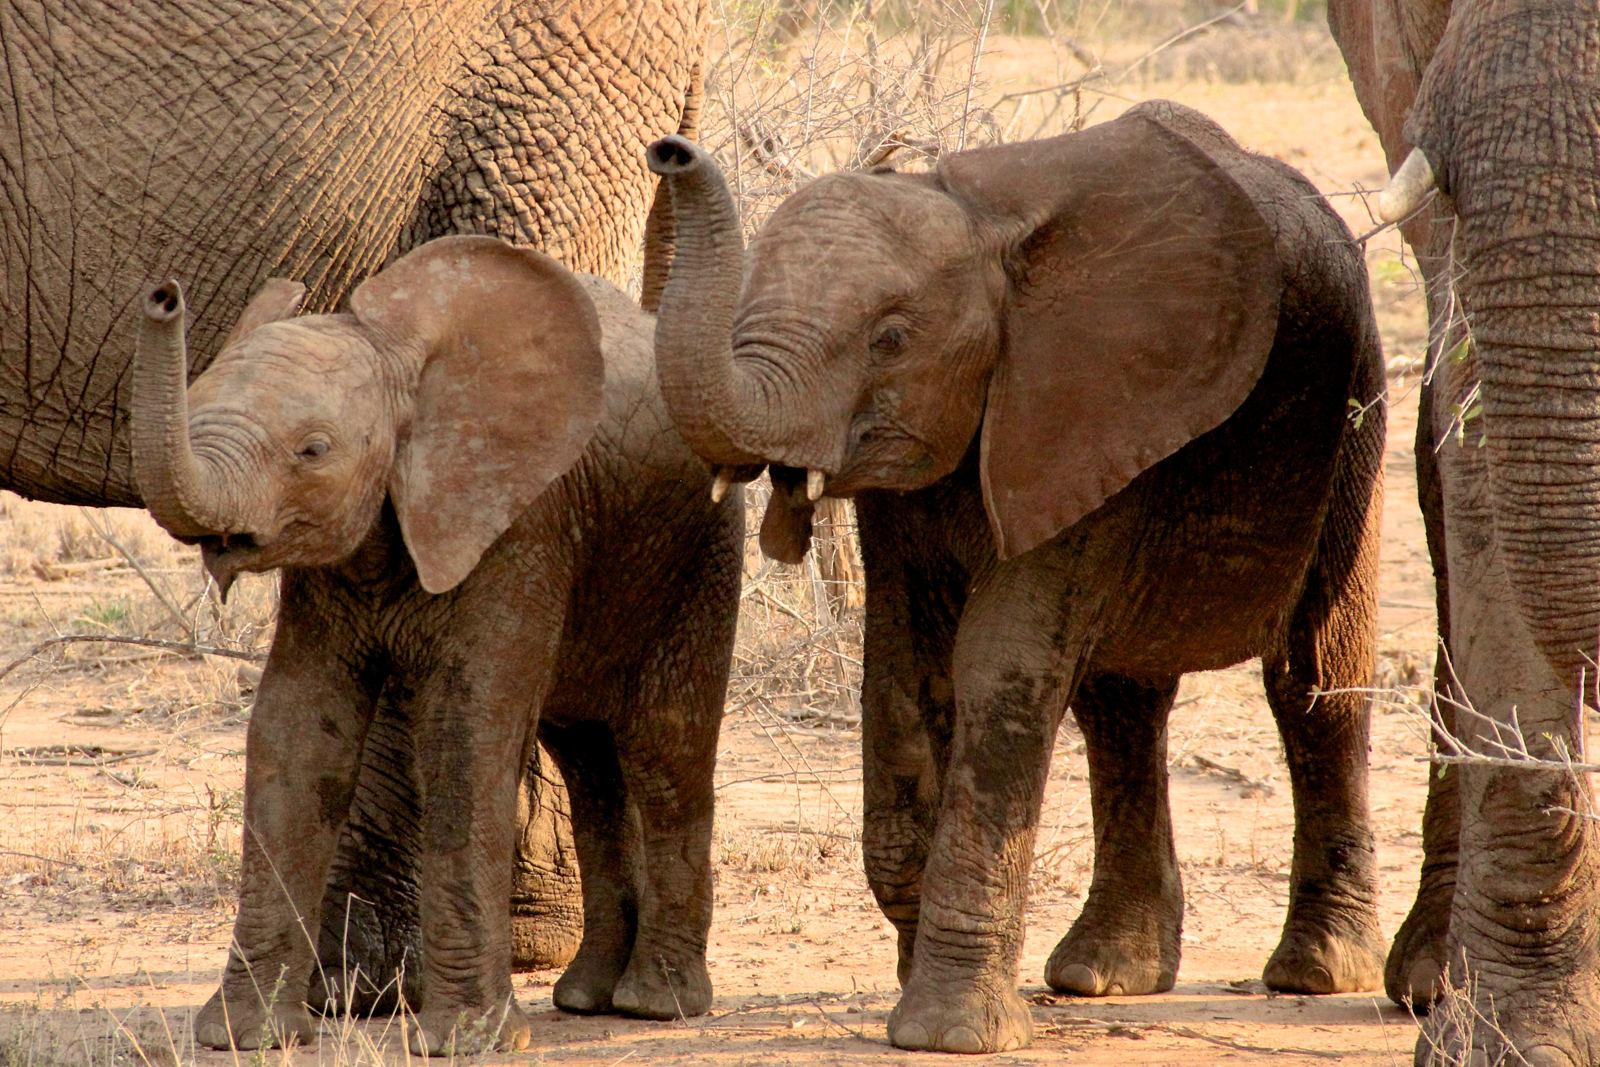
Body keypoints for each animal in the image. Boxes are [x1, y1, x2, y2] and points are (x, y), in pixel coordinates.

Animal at [129, 235, 741, 1053]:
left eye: (312, 450)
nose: (164, 294)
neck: (402, 365)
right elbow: (295, 734)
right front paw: (245, 1036)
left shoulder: (518, 524)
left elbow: (464, 731)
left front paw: (465, 1042)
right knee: (586, 755)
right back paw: (586, 997)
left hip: (700, 549)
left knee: (662, 746)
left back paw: (656, 1004)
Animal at [645, 99, 1389, 1054]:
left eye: (890, 340)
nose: (671, 149)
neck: (985, 235)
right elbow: (902, 672)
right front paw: (911, 978)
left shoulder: (1084, 404)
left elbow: (998, 666)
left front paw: (947, 1033)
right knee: (1120, 704)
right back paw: (1103, 975)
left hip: (1358, 409)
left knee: (1314, 681)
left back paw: (1315, 972)